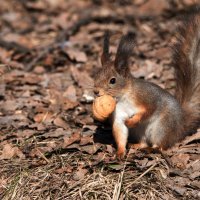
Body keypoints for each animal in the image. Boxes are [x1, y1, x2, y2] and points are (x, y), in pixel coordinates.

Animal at [93, 14, 200, 158]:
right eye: (96, 74)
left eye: (113, 80)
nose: (96, 91)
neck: (124, 96)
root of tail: (180, 127)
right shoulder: (118, 115)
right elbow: (120, 132)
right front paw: (120, 152)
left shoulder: (147, 97)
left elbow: (148, 110)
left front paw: (131, 121)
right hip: (140, 131)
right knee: (144, 141)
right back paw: (137, 145)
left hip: (162, 127)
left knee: (161, 145)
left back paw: (151, 149)